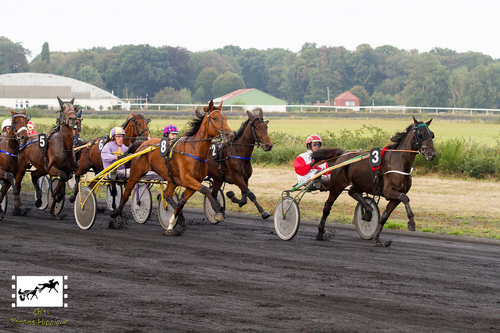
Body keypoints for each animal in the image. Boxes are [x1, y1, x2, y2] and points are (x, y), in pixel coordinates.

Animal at [110, 99, 234, 233]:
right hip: (136, 173)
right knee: (127, 192)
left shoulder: (192, 182)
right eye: (215, 118)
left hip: (171, 179)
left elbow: (182, 201)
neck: (194, 150)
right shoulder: (187, 179)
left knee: (167, 194)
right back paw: (116, 215)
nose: (230, 135)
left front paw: (172, 223)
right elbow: (206, 190)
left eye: (225, 118)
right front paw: (218, 210)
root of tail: (143, 144)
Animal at [310, 115, 436, 245]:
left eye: (432, 134)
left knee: (352, 192)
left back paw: (368, 210)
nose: (432, 154)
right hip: (337, 185)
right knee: (327, 206)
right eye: (421, 134)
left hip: (360, 183)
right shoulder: (388, 192)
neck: (398, 162)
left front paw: (378, 239)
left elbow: (385, 216)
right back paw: (320, 233)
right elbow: (405, 198)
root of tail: (343, 155)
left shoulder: (396, 196)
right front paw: (411, 223)